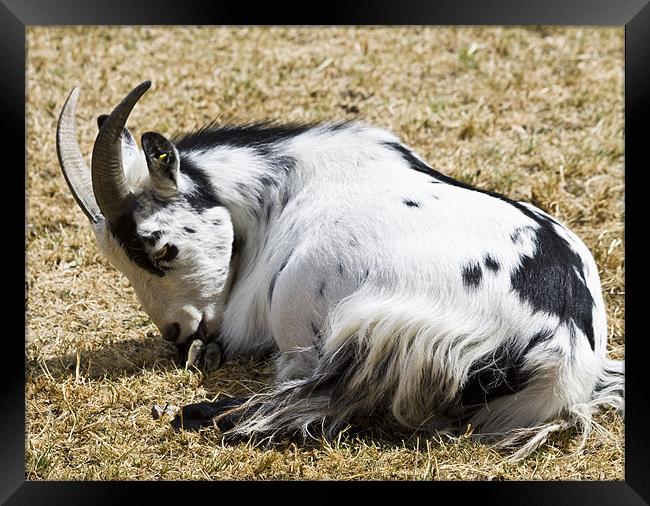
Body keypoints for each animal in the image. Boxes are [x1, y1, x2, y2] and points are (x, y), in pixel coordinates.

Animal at [57, 81, 624, 456]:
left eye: (162, 250)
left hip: (359, 334)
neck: (282, 190)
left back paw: (190, 411)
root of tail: (563, 353)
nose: (177, 333)